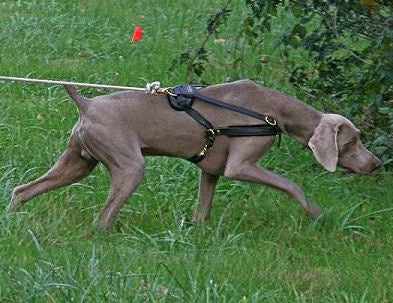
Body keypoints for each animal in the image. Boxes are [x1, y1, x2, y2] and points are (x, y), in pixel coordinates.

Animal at [7, 79, 378, 232]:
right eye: (354, 140)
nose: (376, 163)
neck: (272, 110)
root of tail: (86, 103)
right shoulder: (240, 166)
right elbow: (291, 186)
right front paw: (315, 214)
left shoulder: (211, 170)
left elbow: (203, 207)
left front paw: (198, 233)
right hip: (129, 166)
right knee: (103, 218)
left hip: (78, 162)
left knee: (23, 189)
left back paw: (10, 218)